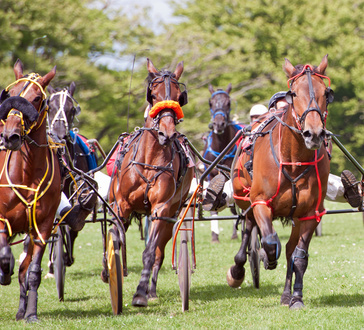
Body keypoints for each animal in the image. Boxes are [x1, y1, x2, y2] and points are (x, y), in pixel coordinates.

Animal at [109, 58, 195, 308]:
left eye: (178, 96)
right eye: (153, 95)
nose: (167, 133)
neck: (150, 159)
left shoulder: (161, 209)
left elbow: (150, 252)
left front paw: (140, 293)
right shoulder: (122, 206)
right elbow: (116, 240)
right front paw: (111, 273)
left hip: (171, 213)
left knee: (158, 252)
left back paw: (151, 290)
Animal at [229, 54, 334, 310]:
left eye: (326, 93)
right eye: (293, 93)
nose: (314, 133)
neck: (294, 159)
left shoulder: (310, 213)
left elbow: (299, 256)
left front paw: (295, 297)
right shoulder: (260, 202)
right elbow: (267, 240)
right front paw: (266, 257)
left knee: (288, 249)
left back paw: (286, 293)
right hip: (245, 199)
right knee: (249, 228)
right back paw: (239, 269)